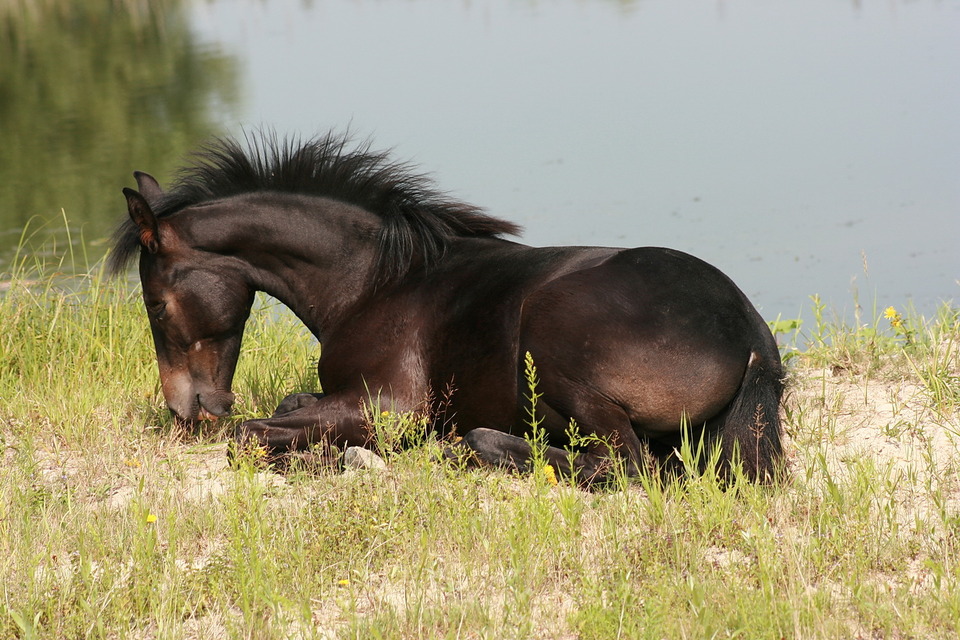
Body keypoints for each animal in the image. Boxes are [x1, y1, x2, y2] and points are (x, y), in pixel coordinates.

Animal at [112, 132, 784, 482]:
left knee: (623, 464)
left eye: (155, 304)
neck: (373, 281)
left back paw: (464, 446)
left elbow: (250, 435)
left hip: (556, 349)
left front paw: (332, 455)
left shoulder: (390, 406)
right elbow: (287, 407)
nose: (185, 411)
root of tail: (749, 332)